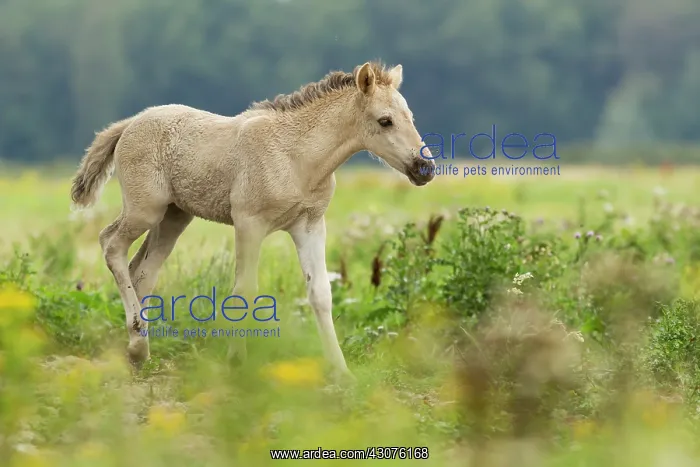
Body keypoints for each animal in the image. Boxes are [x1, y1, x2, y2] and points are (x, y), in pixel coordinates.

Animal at [69, 61, 436, 381]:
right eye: (385, 121)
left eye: (410, 116)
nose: (425, 168)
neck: (296, 156)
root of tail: (129, 124)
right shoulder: (249, 223)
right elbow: (245, 291)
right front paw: (236, 363)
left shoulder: (310, 225)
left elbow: (320, 292)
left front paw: (341, 372)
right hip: (145, 209)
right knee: (111, 245)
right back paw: (138, 348)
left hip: (174, 216)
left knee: (142, 272)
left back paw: (137, 350)